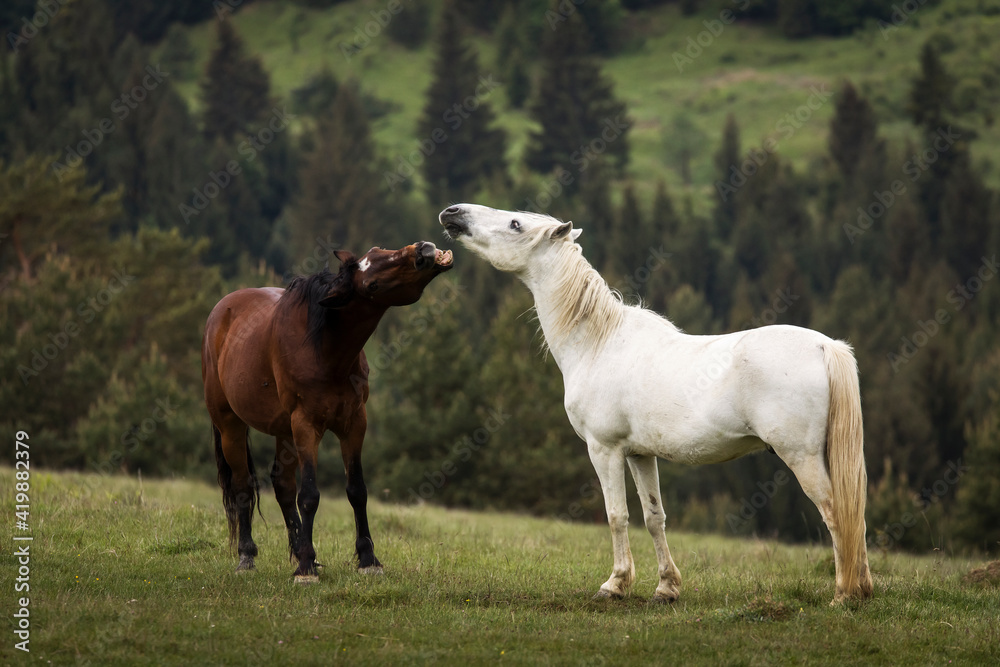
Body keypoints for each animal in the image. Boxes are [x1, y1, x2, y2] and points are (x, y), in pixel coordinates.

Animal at [203, 243, 454, 580]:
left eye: (378, 249)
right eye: (371, 284)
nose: (423, 251)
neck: (325, 349)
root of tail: (223, 309)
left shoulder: (354, 424)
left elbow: (357, 490)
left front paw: (367, 559)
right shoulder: (306, 425)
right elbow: (310, 495)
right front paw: (306, 568)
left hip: (284, 431)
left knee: (283, 485)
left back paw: (297, 549)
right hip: (231, 424)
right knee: (243, 485)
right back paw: (248, 556)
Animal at [442, 204, 872, 604]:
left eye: (516, 224)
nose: (453, 213)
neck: (598, 343)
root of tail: (824, 346)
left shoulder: (604, 450)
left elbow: (617, 516)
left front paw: (615, 585)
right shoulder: (639, 454)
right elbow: (654, 517)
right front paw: (666, 588)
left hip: (801, 456)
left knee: (836, 514)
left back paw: (842, 594)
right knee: (855, 514)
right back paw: (863, 589)